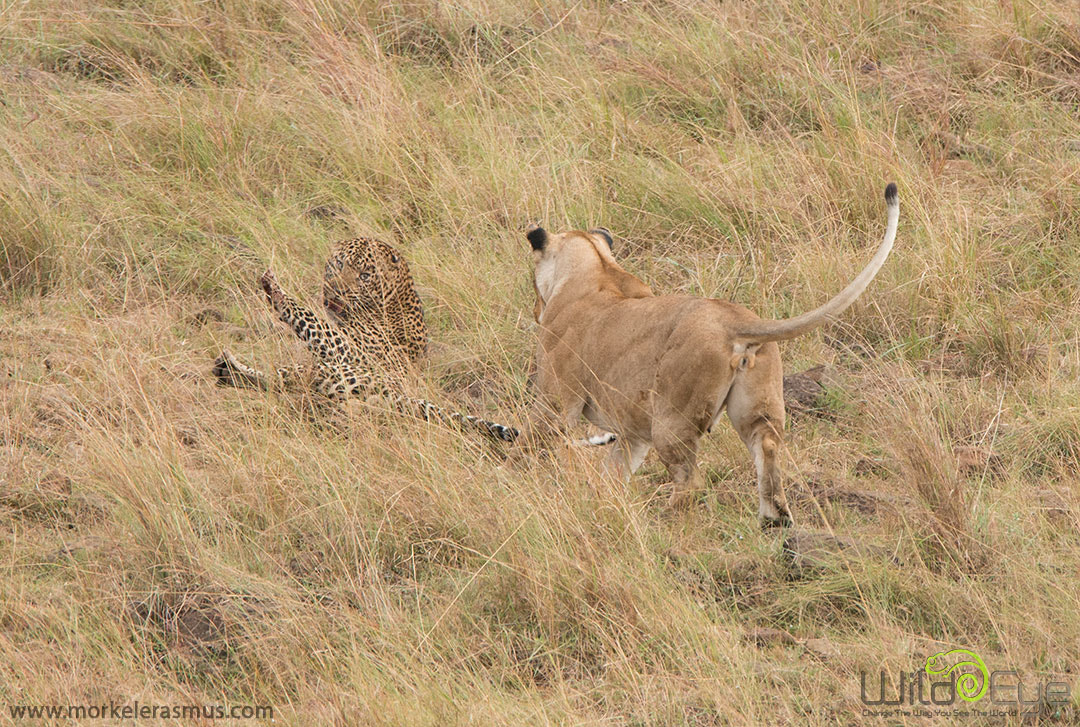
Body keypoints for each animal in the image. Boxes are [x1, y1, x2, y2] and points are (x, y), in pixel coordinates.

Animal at [213, 237, 518, 442]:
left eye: (365, 275)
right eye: (339, 263)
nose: (336, 289)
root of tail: (401, 397)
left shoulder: (353, 350)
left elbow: (311, 319)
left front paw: (277, 293)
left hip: (347, 374)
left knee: (285, 380)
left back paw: (232, 370)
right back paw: (228, 371)